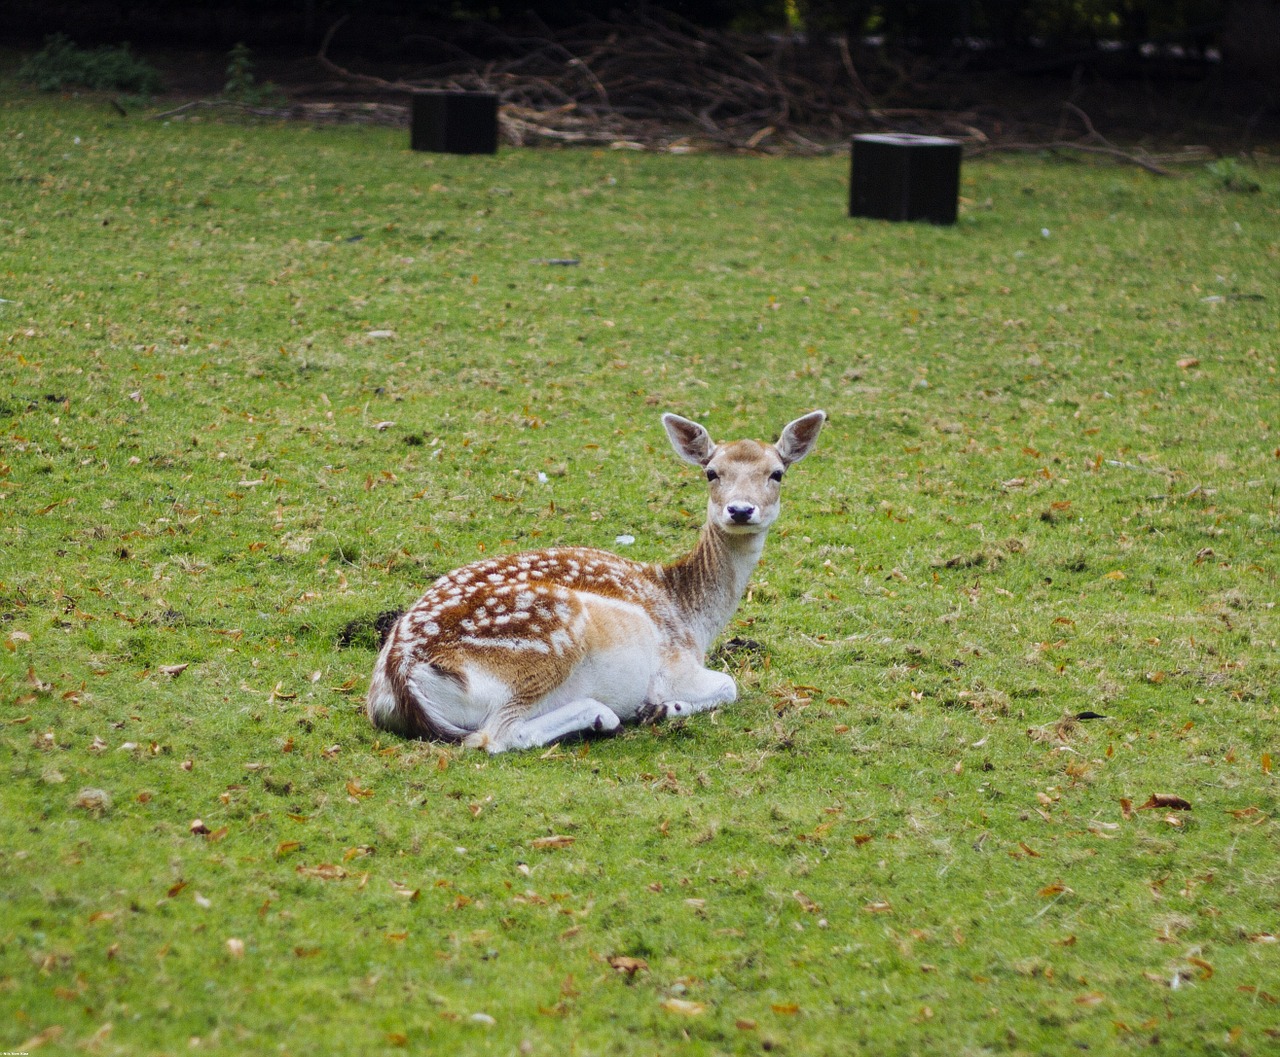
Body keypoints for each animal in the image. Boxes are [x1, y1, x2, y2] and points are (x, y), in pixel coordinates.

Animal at [368, 409, 829, 747]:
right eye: (711, 472)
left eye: (777, 473)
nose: (740, 510)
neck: (693, 619)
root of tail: (402, 679)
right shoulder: (675, 666)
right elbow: (730, 685)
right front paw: (661, 708)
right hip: (549, 641)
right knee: (495, 736)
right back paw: (604, 715)